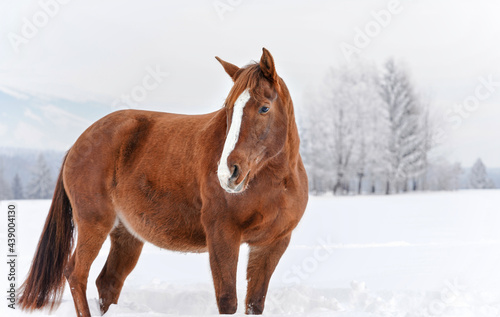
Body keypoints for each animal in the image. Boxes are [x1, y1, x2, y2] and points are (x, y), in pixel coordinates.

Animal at [18, 48, 308, 314]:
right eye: (228, 109)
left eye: (264, 107)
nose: (229, 173)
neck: (273, 183)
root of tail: (79, 143)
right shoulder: (223, 236)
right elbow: (228, 302)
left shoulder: (271, 244)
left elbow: (254, 303)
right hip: (94, 223)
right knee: (76, 274)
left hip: (126, 235)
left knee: (108, 283)